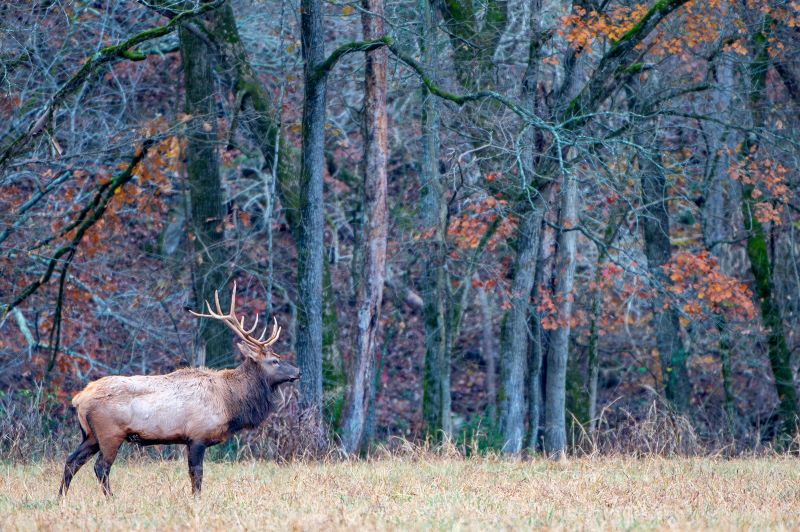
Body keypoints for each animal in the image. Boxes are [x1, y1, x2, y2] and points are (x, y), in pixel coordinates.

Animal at [57, 284, 298, 496]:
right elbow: (196, 474)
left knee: (71, 461)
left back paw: (61, 498)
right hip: (110, 432)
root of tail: (79, 399)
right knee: (100, 467)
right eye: (275, 361)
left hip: (90, 435)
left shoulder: (190, 439)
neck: (229, 402)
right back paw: (110, 499)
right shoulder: (198, 435)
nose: (298, 370)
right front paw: (197, 500)